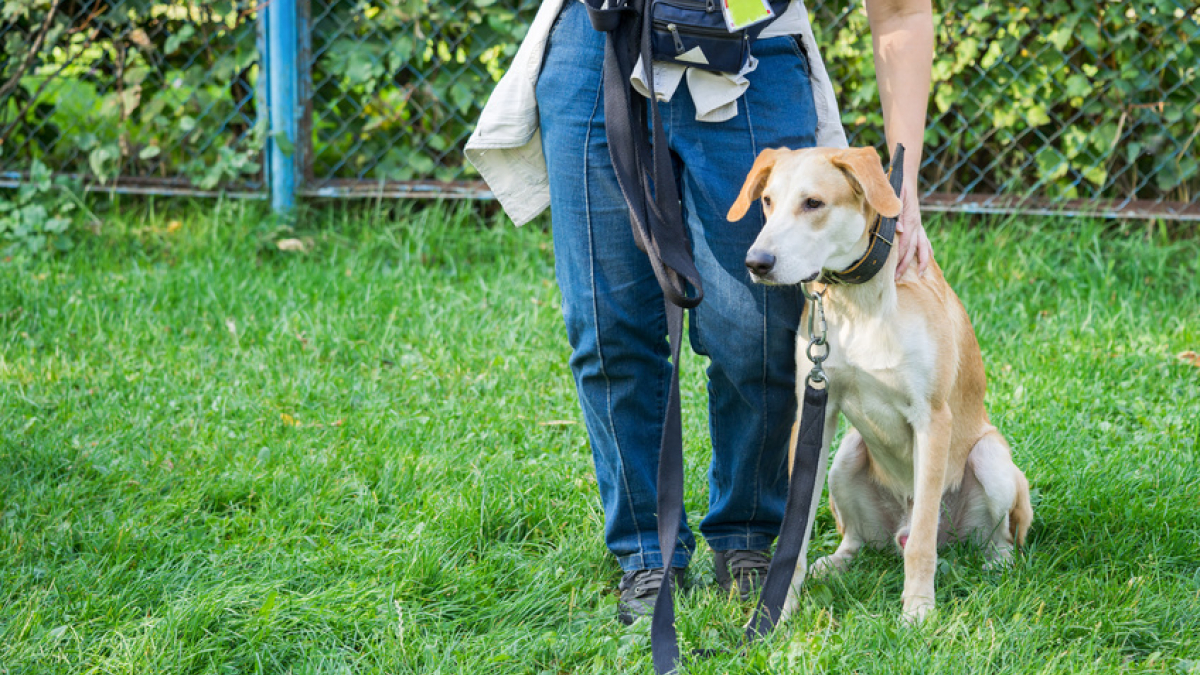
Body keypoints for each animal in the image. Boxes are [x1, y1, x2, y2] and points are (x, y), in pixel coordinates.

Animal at [724, 147, 1036, 619]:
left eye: (813, 203)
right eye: (767, 202)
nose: (756, 263)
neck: (858, 303)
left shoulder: (933, 419)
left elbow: (922, 544)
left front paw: (918, 611)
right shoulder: (816, 413)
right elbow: (795, 532)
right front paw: (779, 608)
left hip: (991, 460)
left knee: (988, 539)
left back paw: (996, 567)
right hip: (845, 458)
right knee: (858, 540)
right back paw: (834, 564)